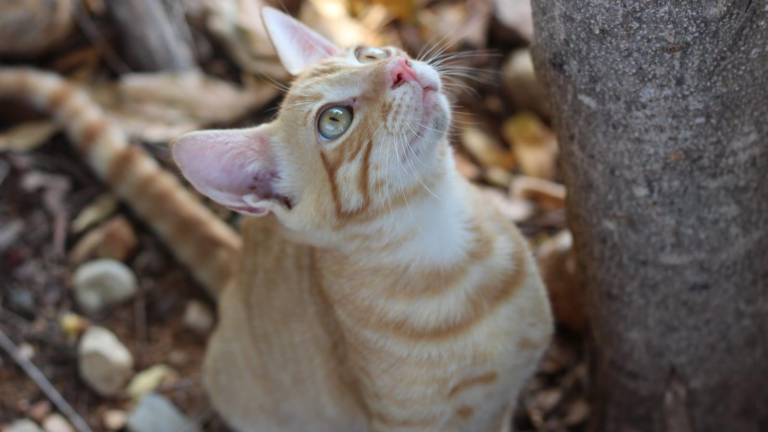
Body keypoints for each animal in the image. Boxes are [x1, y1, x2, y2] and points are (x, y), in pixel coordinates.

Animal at [0, 6, 552, 432]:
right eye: (334, 121)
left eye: (366, 54)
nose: (397, 67)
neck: (445, 240)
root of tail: (237, 271)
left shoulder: (503, 405)